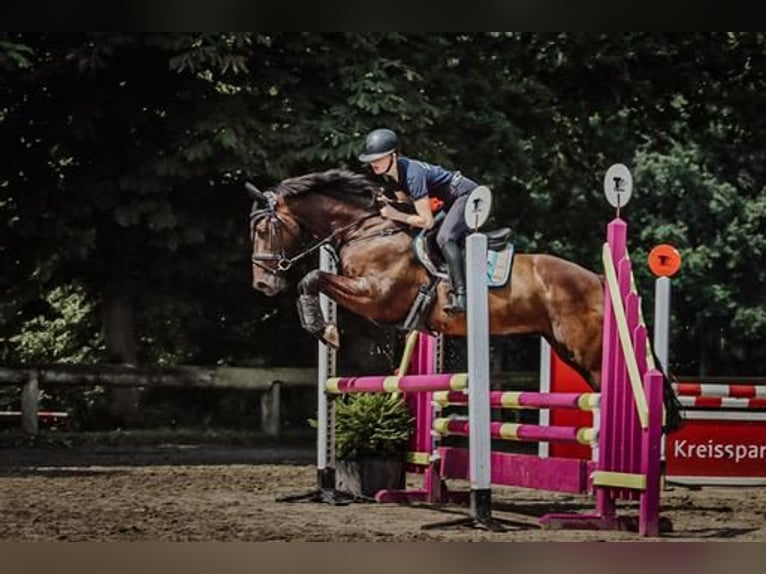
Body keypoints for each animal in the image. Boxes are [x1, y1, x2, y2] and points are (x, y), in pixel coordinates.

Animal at [248, 169, 684, 430]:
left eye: (265, 230)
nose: (262, 285)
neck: (368, 228)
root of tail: (597, 278)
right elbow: (317, 284)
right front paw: (328, 330)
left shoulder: (378, 297)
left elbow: (311, 278)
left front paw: (324, 329)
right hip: (565, 346)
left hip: (589, 352)